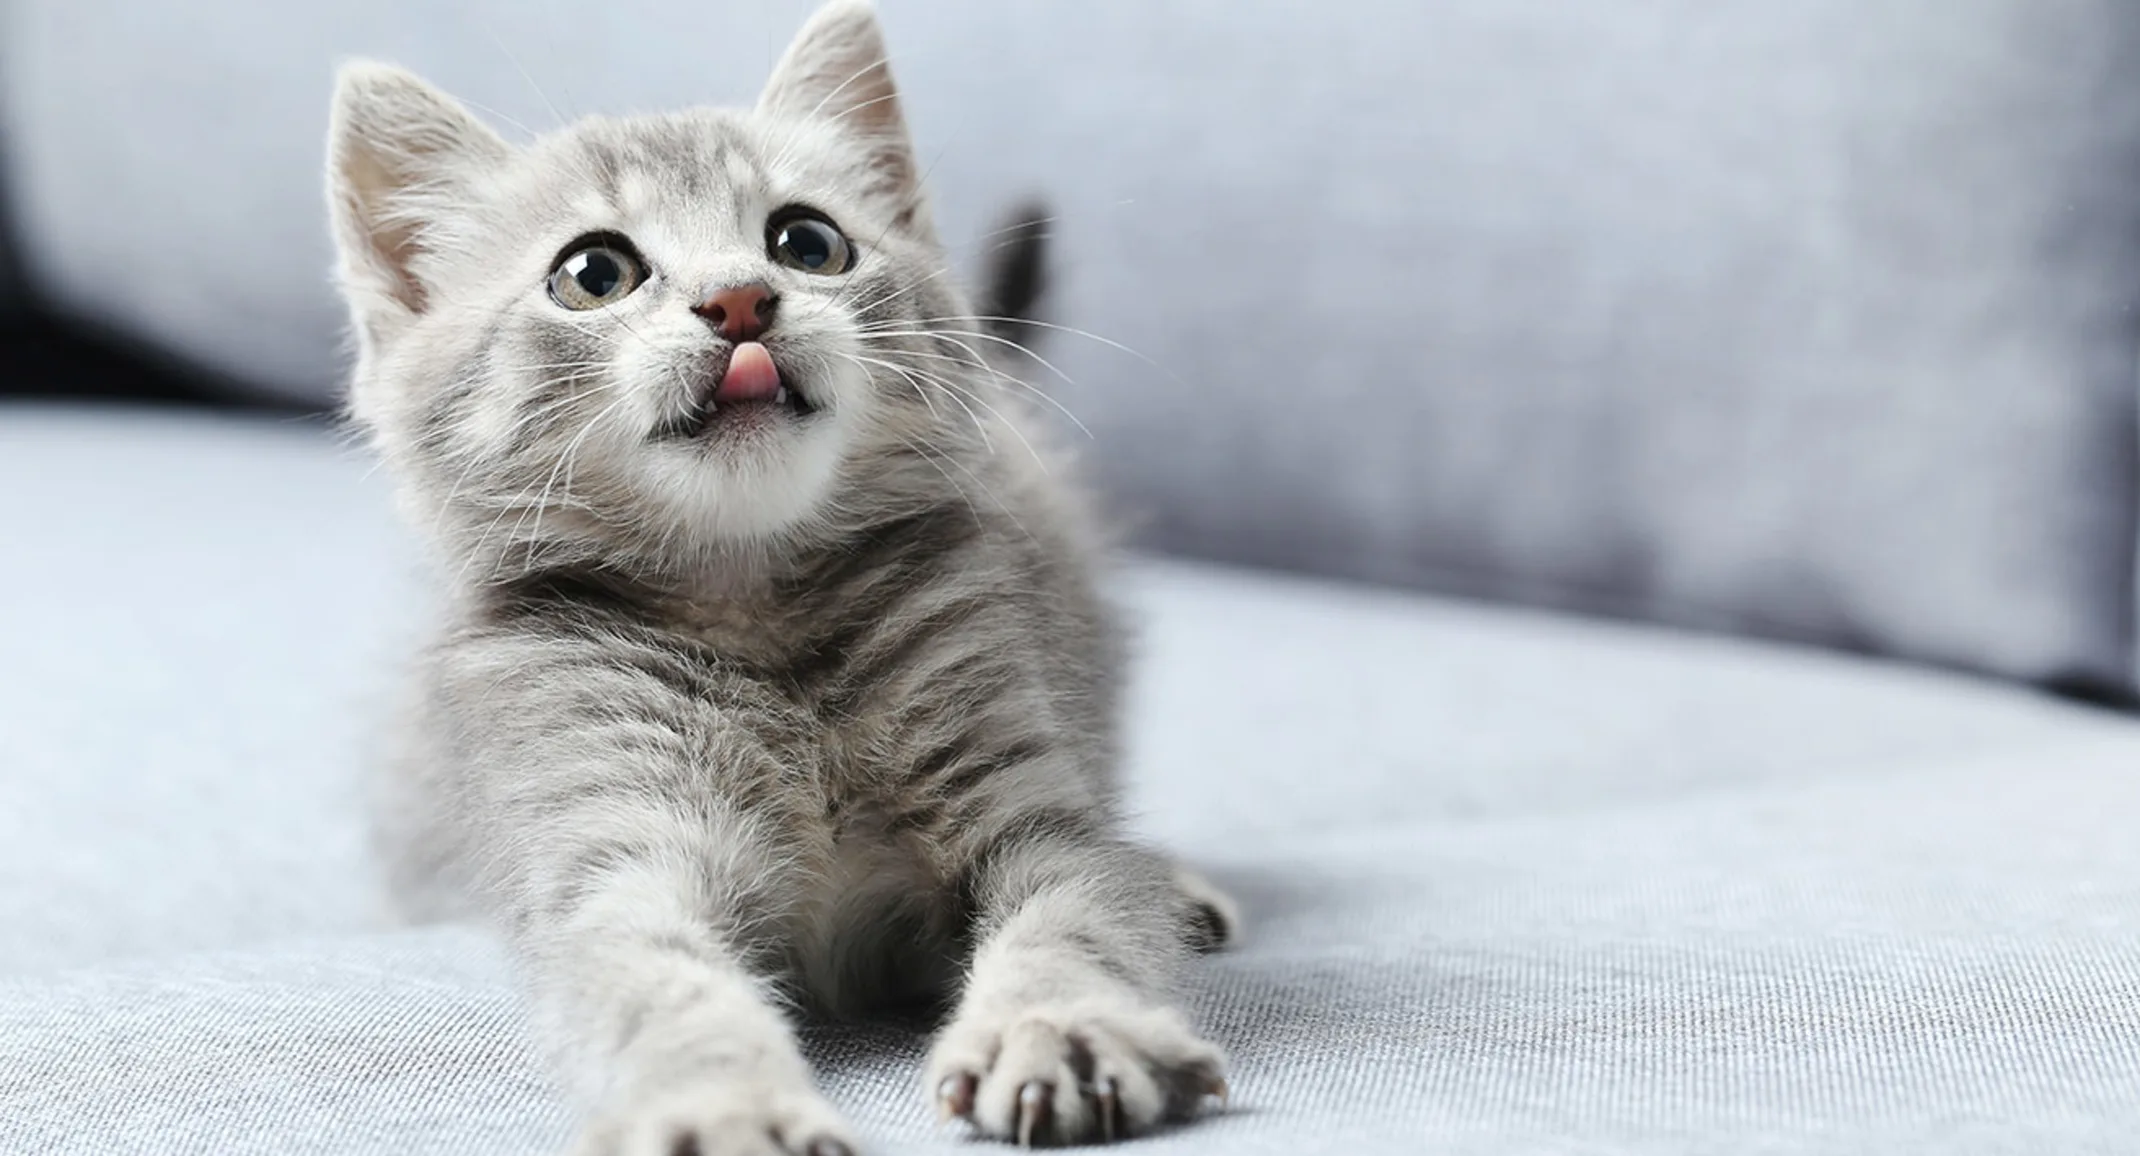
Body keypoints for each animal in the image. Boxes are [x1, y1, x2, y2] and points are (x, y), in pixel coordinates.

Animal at [327, 4, 1249, 1147]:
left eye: (807, 242)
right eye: (594, 272)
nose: (739, 300)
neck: (757, 612)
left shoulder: (1031, 804)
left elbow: (1079, 912)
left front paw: (1059, 1026)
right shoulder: (615, 851)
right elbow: (656, 984)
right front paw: (719, 1101)